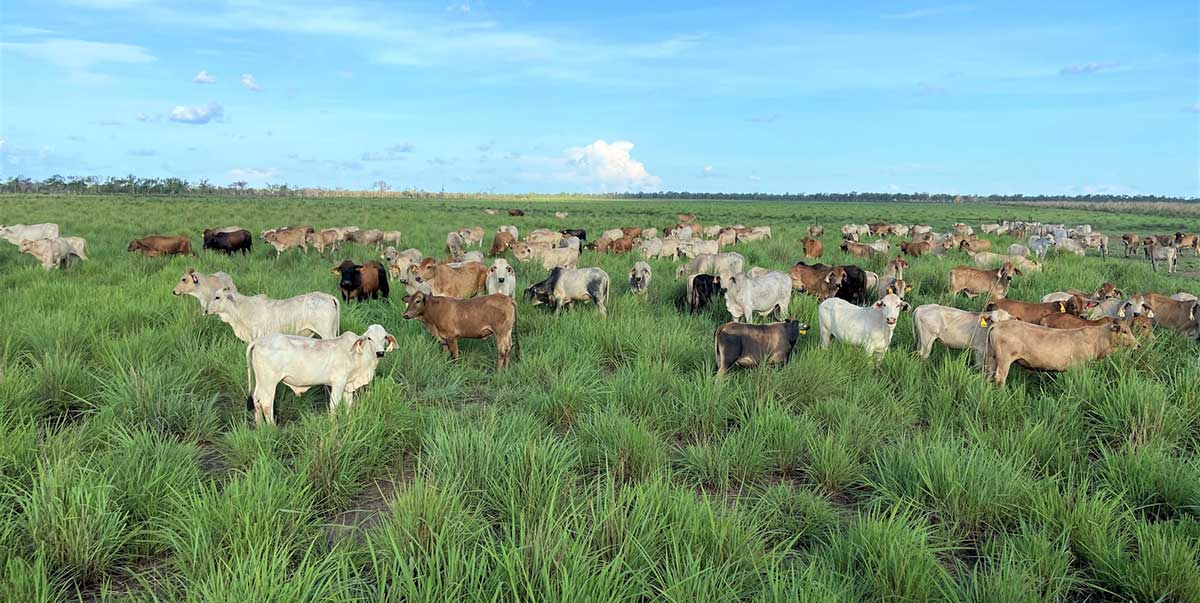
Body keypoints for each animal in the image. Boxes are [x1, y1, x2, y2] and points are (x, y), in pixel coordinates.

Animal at [244, 321, 398, 425]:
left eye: (384, 337)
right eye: (369, 338)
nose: (380, 353)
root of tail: (258, 341)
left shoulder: (348, 386)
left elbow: (348, 405)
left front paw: (348, 422)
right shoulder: (338, 382)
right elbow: (334, 405)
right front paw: (333, 425)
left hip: (261, 381)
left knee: (256, 399)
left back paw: (260, 426)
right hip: (270, 382)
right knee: (266, 403)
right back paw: (272, 428)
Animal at [988, 319, 1137, 386]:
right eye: (1124, 331)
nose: (1138, 344)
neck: (1097, 338)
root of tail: (997, 324)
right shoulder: (1078, 367)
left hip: (992, 358)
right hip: (1004, 361)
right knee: (1000, 379)